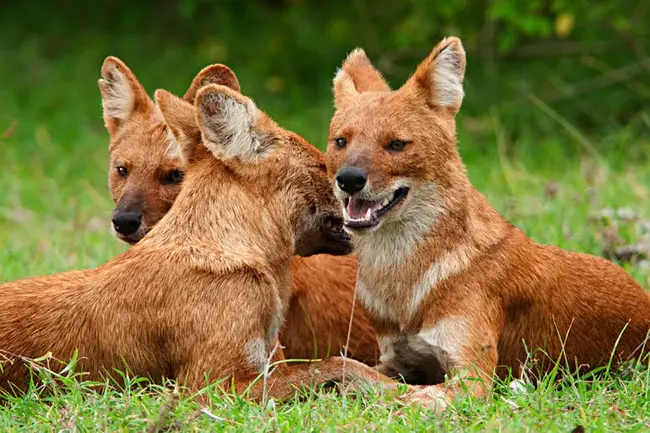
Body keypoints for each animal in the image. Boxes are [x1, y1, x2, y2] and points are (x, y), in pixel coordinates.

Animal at [326, 36, 648, 408]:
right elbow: (351, 366)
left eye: (396, 144)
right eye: (341, 141)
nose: (349, 179)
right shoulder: (397, 358)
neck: (403, 281)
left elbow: (394, 392)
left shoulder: (472, 378)